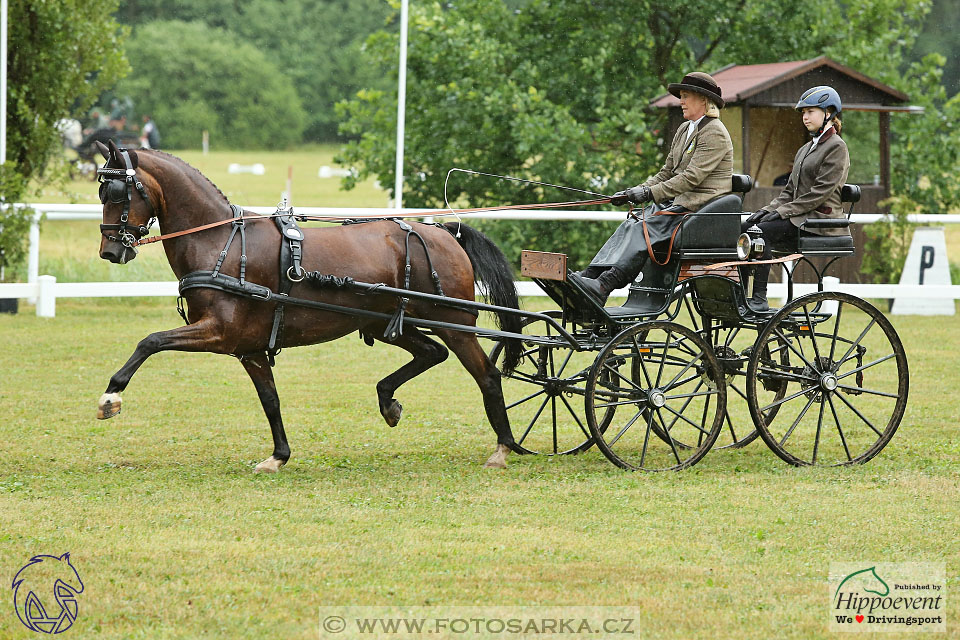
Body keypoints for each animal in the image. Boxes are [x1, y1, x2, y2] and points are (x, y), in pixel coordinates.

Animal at [93, 140, 524, 470]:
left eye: (116, 193)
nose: (110, 252)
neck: (220, 243)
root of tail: (445, 232)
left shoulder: (218, 332)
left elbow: (150, 341)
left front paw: (111, 396)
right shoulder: (248, 348)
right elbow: (270, 400)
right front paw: (278, 456)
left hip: (454, 321)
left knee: (487, 376)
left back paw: (503, 447)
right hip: (385, 322)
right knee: (431, 353)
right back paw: (388, 401)